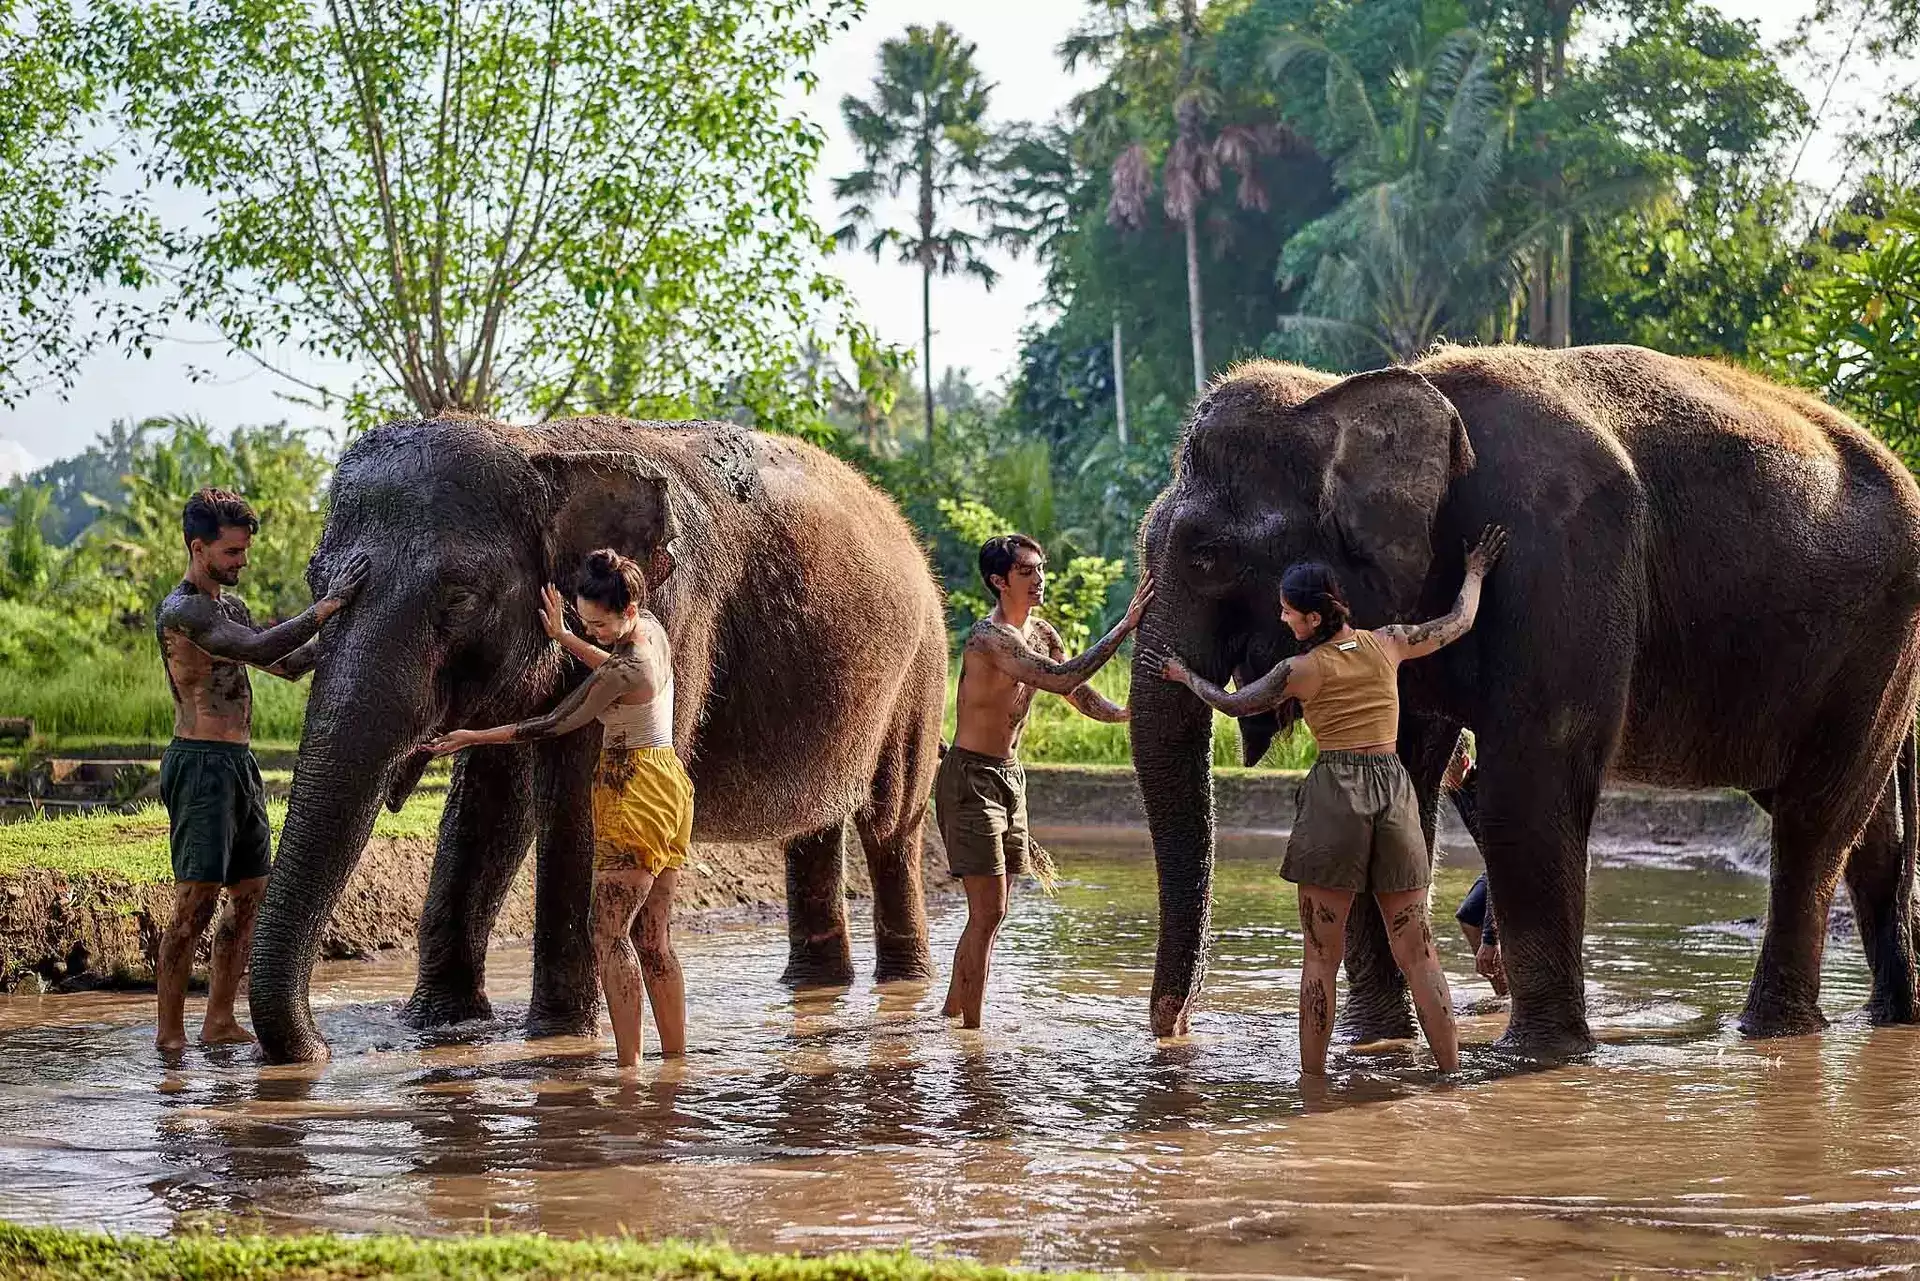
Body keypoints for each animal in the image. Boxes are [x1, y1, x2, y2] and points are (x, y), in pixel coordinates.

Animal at [248, 415, 948, 1063]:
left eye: (459, 597)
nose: (321, 1049)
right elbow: (489, 806)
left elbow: (581, 792)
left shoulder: (675, 617)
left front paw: (556, 1034)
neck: (543, 449)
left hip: (923, 670)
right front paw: (442, 1026)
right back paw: (816, 985)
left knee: (891, 826)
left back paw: (902, 985)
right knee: (815, 829)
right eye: (314, 583)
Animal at [1129, 344, 1920, 1058]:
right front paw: (1378, 1044)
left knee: (1814, 821)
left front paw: (1538, 1058)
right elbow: (1406, 779)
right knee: (1862, 829)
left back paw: (1772, 1033)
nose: (1175, 1029)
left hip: (1878, 638)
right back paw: (1887, 1017)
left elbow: (1531, 779)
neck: (1354, 391)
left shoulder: (1558, 554)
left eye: (1206, 557)